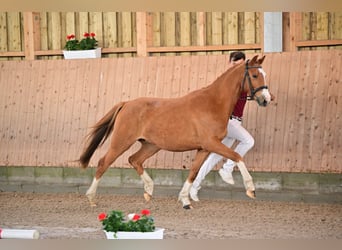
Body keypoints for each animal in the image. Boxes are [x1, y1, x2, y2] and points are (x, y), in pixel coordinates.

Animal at [79, 54, 272, 209]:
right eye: (255, 75)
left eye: (264, 75)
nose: (266, 99)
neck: (213, 103)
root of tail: (126, 104)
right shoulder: (211, 143)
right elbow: (237, 156)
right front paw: (251, 189)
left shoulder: (204, 148)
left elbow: (194, 172)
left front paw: (185, 200)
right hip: (121, 142)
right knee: (104, 163)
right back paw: (91, 198)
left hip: (151, 145)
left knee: (134, 160)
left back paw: (149, 190)